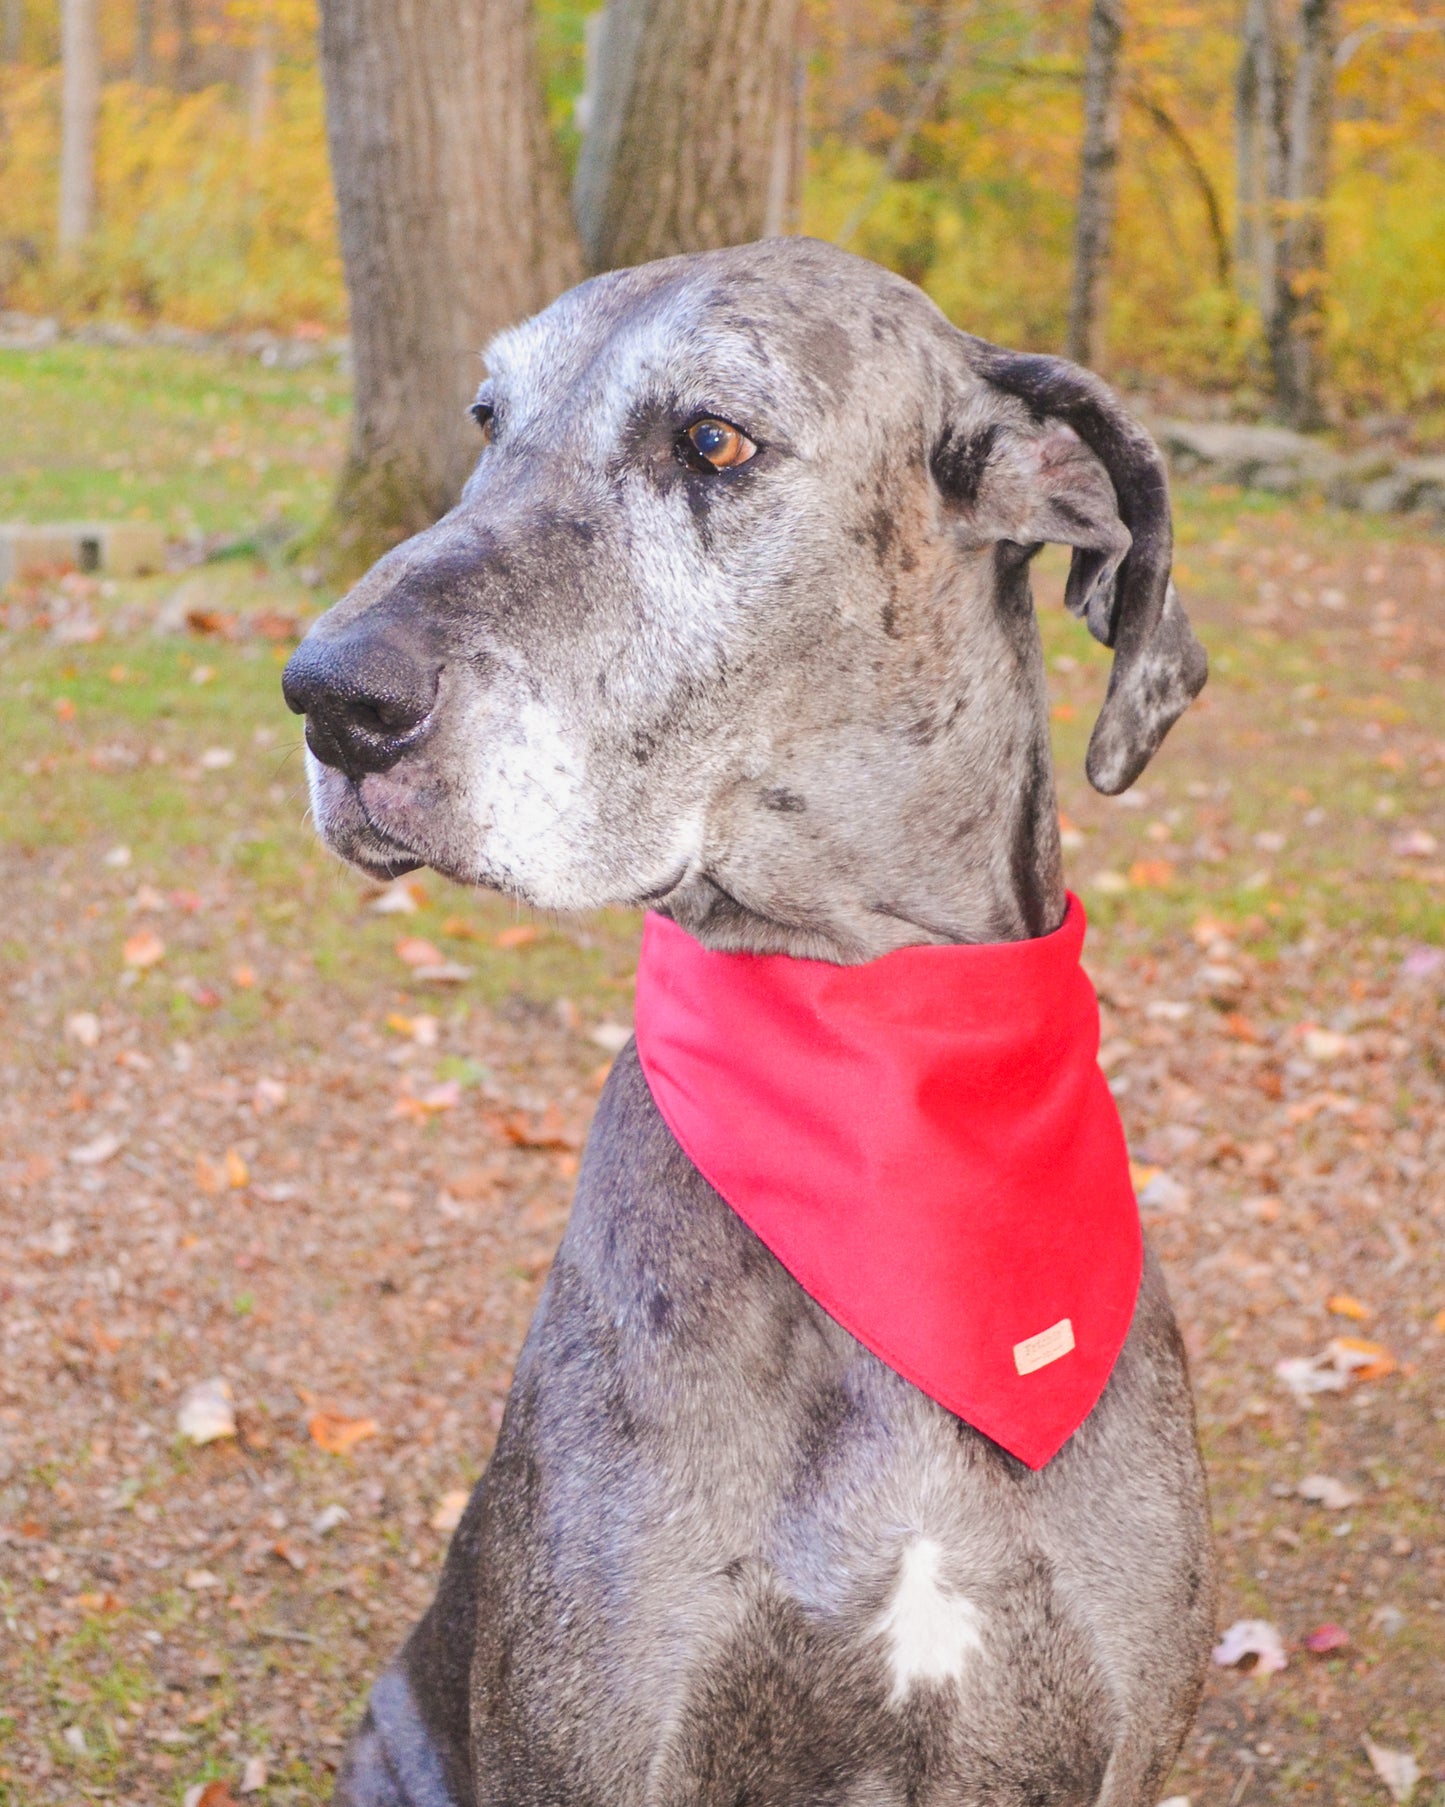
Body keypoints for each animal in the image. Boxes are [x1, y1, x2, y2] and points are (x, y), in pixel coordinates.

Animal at [279, 240, 1206, 1807]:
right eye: (487, 419)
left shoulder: (1117, 1736)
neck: (872, 1058)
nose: (330, 694)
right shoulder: (594, 1741)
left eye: (711, 441)